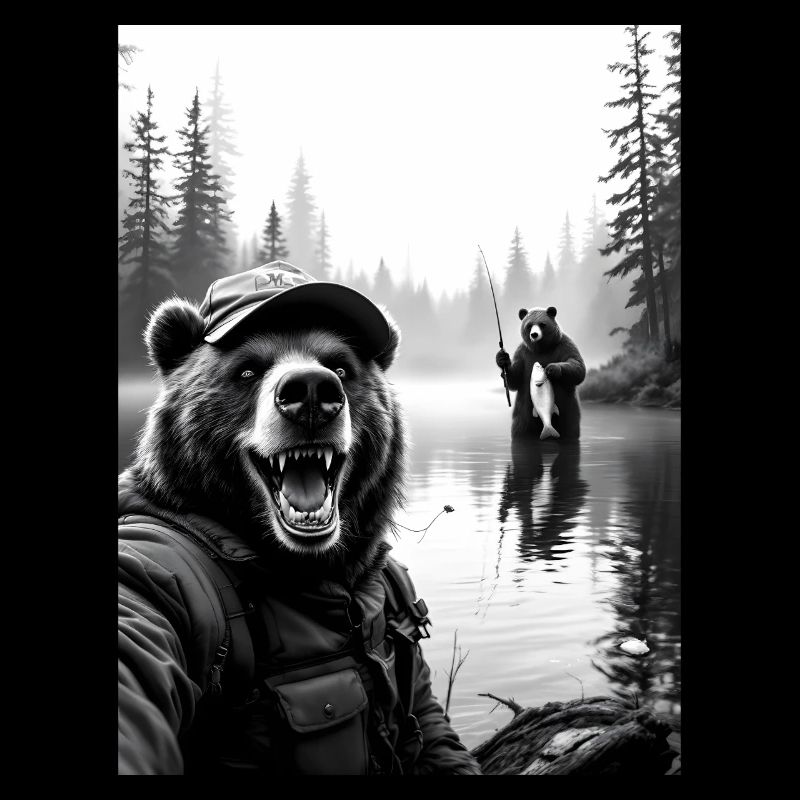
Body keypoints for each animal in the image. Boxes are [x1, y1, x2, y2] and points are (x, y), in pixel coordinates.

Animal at [495, 306, 586, 439]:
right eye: (529, 325)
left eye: (542, 324)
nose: (534, 334)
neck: (541, 348)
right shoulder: (523, 353)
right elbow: (515, 378)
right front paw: (502, 359)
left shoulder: (565, 345)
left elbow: (577, 367)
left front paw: (552, 368)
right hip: (523, 415)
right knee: (520, 430)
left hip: (569, 411)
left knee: (570, 430)